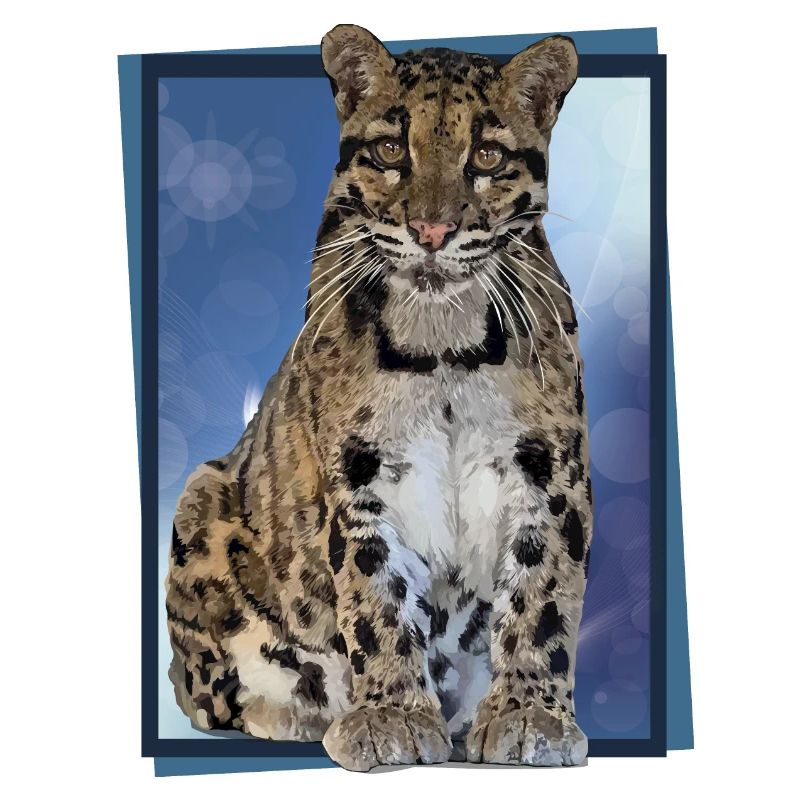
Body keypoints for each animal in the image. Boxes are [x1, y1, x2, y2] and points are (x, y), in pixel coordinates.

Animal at [166, 24, 592, 771]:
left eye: (486, 156)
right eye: (393, 150)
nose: (432, 231)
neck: (443, 343)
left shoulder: (549, 472)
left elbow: (542, 595)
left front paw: (528, 713)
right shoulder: (358, 475)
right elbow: (375, 596)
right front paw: (391, 715)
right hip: (200, 497)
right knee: (209, 694)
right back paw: (301, 711)